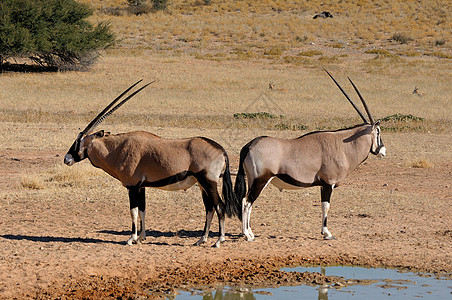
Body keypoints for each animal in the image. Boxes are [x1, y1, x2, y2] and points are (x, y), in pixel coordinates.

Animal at [66, 81, 240, 247]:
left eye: (78, 141)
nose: (67, 159)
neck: (118, 148)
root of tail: (220, 149)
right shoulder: (141, 187)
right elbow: (142, 210)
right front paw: (141, 238)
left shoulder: (133, 187)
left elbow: (134, 212)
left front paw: (131, 239)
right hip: (202, 185)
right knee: (209, 209)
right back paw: (201, 240)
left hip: (208, 182)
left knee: (220, 206)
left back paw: (219, 241)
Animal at [235, 70, 386, 241]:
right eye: (378, 132)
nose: (383, 150)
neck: (342, 145)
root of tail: (249, 145)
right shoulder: (328, 183)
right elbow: (326, 206)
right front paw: (327, 233)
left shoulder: (322, 185)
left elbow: (323, 206)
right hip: (261, 180)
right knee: (247, 202)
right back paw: (247, 234)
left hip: (252, 179)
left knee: (245, 201)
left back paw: (249, 232)